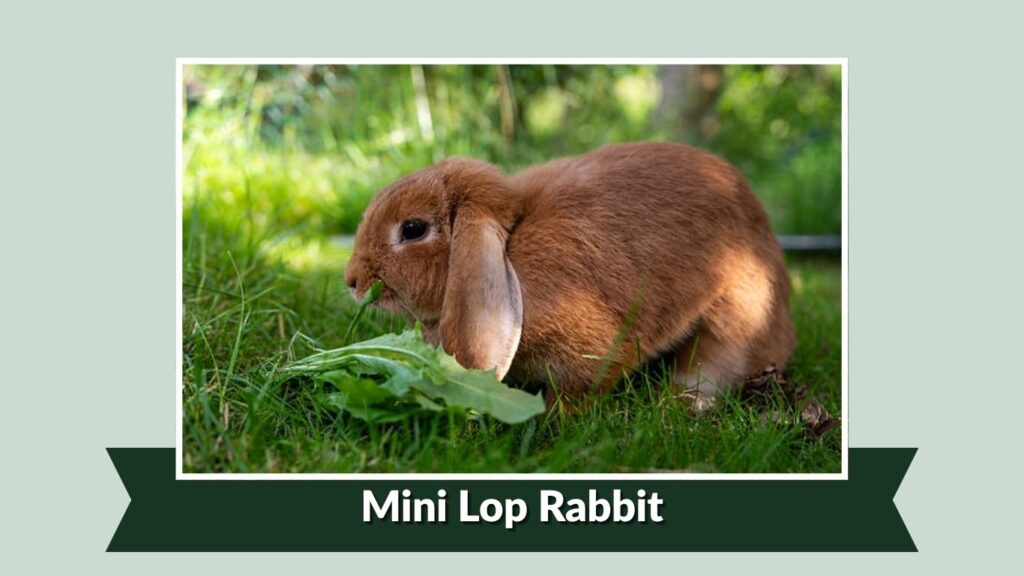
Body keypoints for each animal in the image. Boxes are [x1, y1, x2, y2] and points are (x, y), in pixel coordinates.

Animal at [344, 141, 796, 408]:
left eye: (413, 229)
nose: (352, 281)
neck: (509, 251)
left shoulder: (590, 351)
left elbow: (582, 387)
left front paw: (552, 420)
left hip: (733, 313)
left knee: (716, 362)